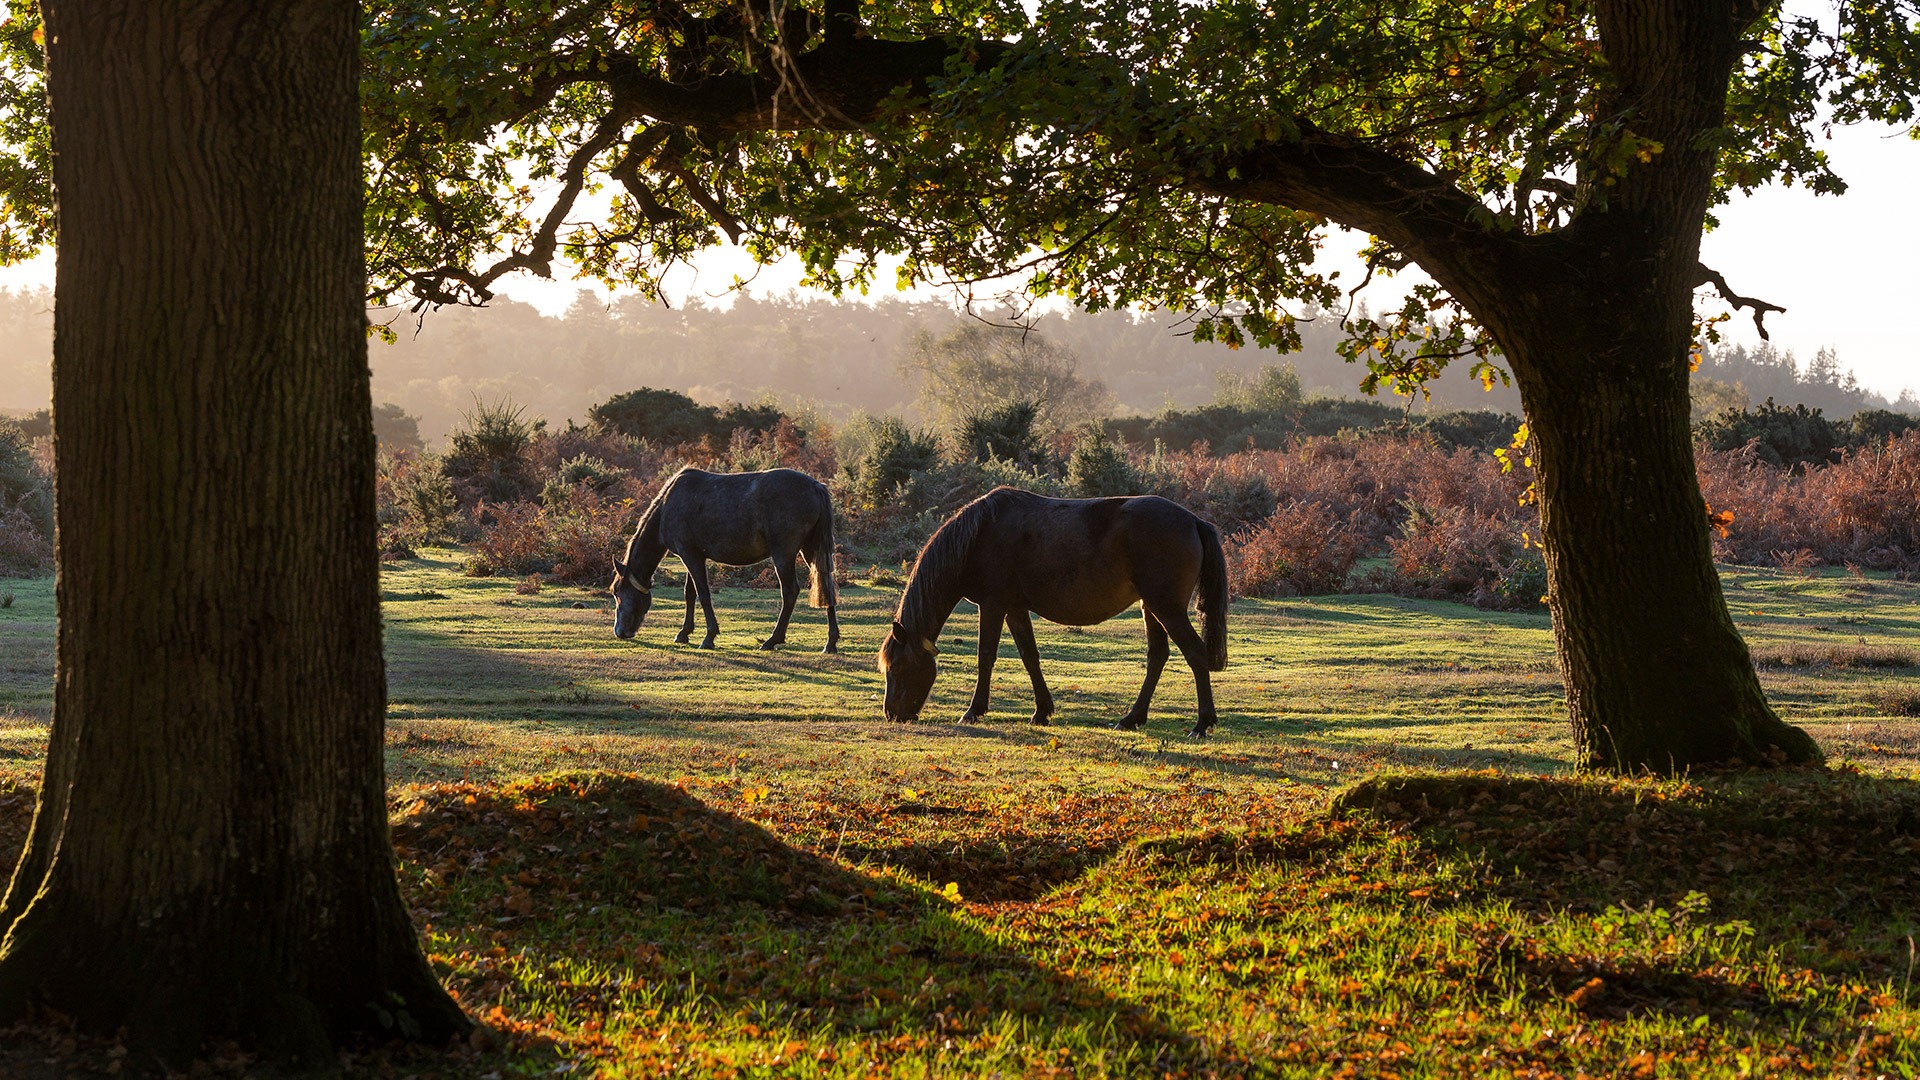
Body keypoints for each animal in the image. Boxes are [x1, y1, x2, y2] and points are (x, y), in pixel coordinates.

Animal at [609, 466, 840, 652]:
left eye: (617, 592)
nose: (619, 631)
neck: (668, 505)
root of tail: (815, 486)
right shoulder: (694, 556)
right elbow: (689, 593)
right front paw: (684, 633)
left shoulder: (690, 556)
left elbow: (703, 594)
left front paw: (708, 637)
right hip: (812, 550)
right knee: (827, 588)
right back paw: (830, 642)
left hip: (784, 554)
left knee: (790, 592)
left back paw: (772, 640)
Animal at [878, 487, 1228, 736]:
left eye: (897, 667)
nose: (892, 714)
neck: (978, 536)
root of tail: (1194, 521)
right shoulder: (1015, 609)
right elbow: (1029, 656)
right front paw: (1042, 712)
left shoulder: (992, 605)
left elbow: (986, 656)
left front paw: (973, 711)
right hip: (1150, 608)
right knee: (1157, 657)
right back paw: (1132, 718)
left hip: (1166, 608)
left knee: (1195, 654)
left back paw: (1202, 724)